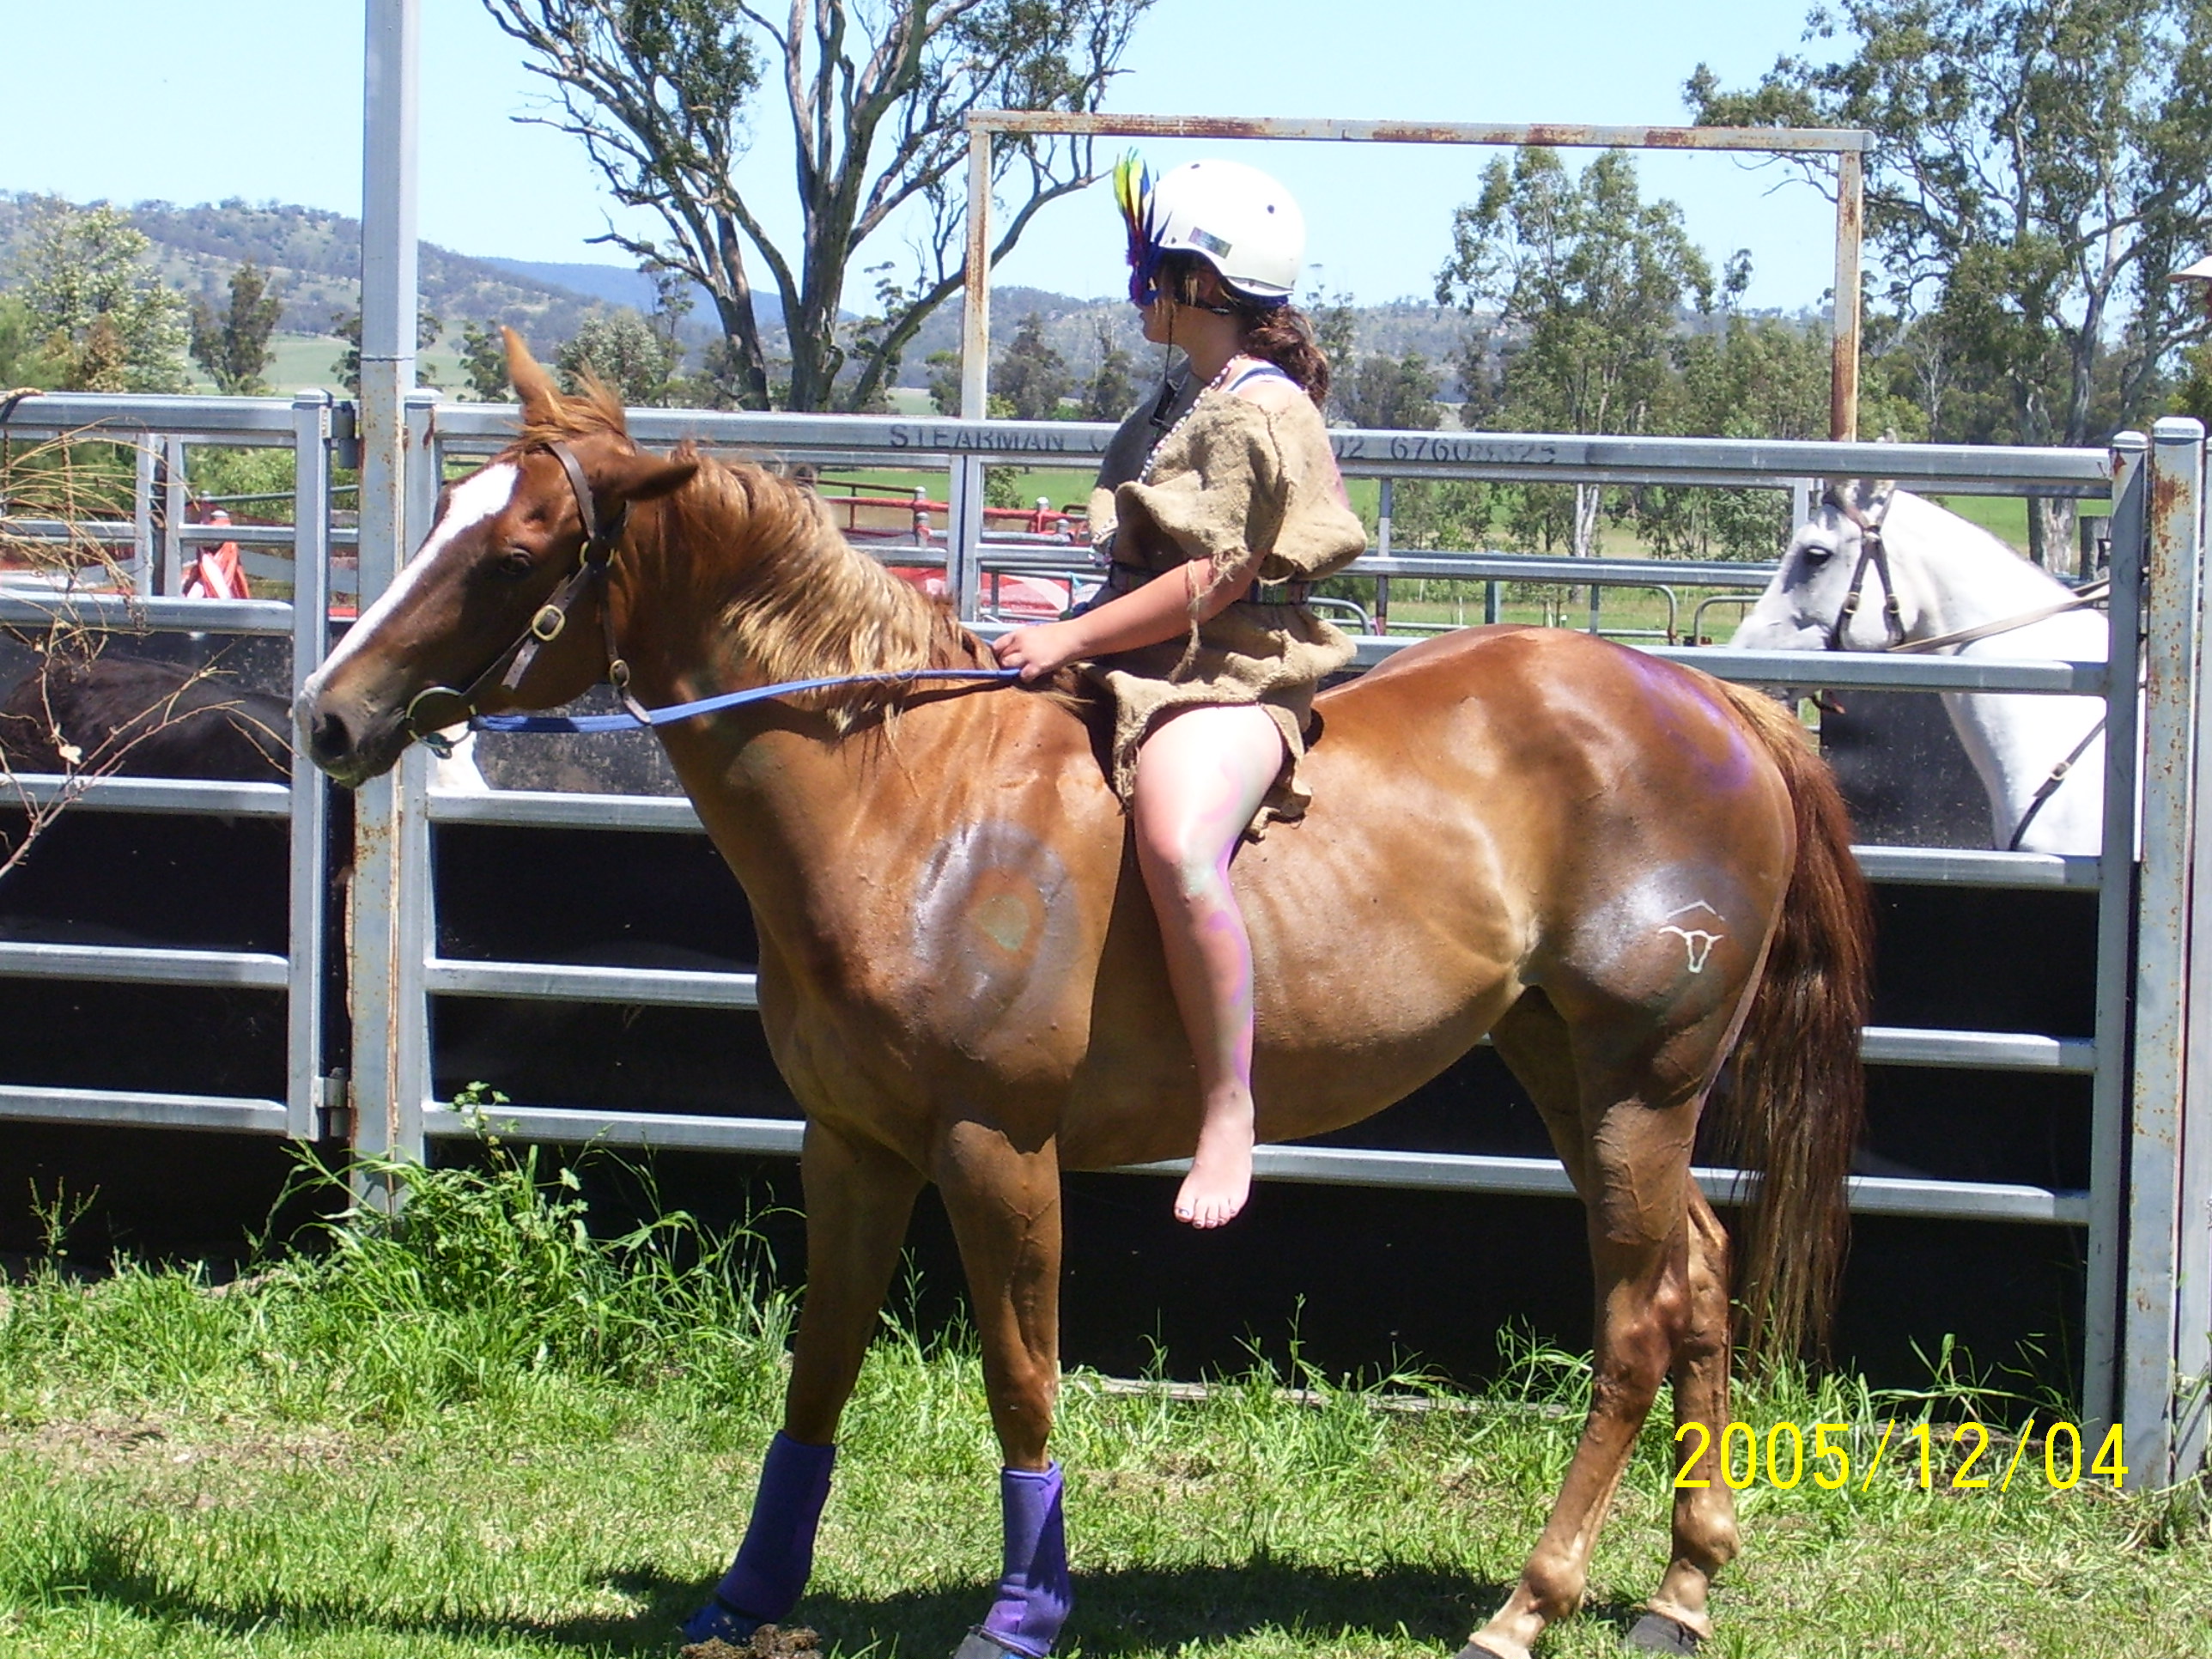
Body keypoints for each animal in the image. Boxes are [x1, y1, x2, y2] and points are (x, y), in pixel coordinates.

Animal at [298, 351, 1867, 1659]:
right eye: (443, 517)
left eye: (512, 555)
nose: (326, 717)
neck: (906, 800)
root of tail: (1718, 708)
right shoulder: (851, 1146)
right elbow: (818, 1372)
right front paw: (748, 1594)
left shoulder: (997, 1150)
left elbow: (1020, 1377)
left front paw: (1023, 1610)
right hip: (1566, 1065)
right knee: (1700, 1277)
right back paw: (1680, 1590)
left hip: (1639, 1080)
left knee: (1636, 1321)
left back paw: (1527, 1605)